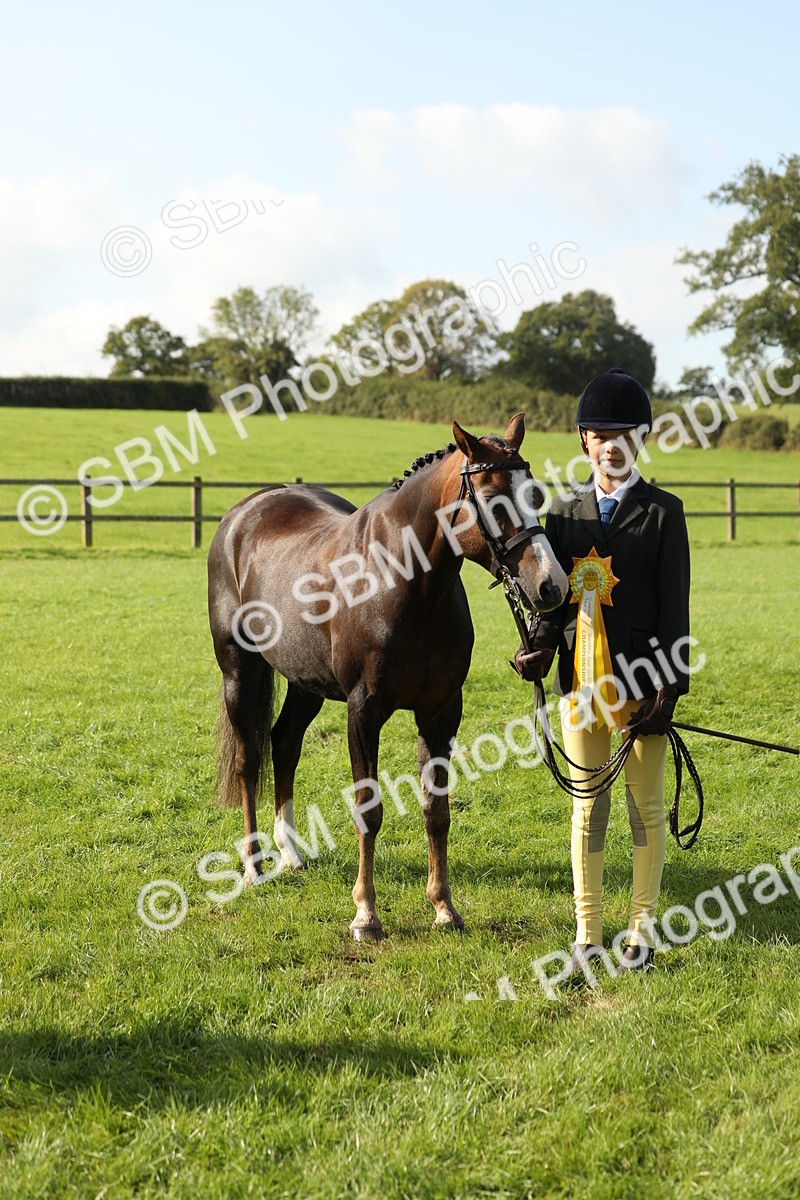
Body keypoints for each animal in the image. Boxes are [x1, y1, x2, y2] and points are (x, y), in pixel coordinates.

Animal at [207, 413, 569, 941]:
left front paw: (443, 907)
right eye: (493, 497)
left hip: (306, 683)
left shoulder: (441, 711)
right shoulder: (364, 710)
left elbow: (437, 810)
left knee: (285, 743)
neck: (405, 585)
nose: (551, 585)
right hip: (239, 669)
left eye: (535, 494)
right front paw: (366, 914)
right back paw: (254, 864)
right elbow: (368, 809)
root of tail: (244, 511)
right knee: (249, 756)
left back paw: (290, 852)